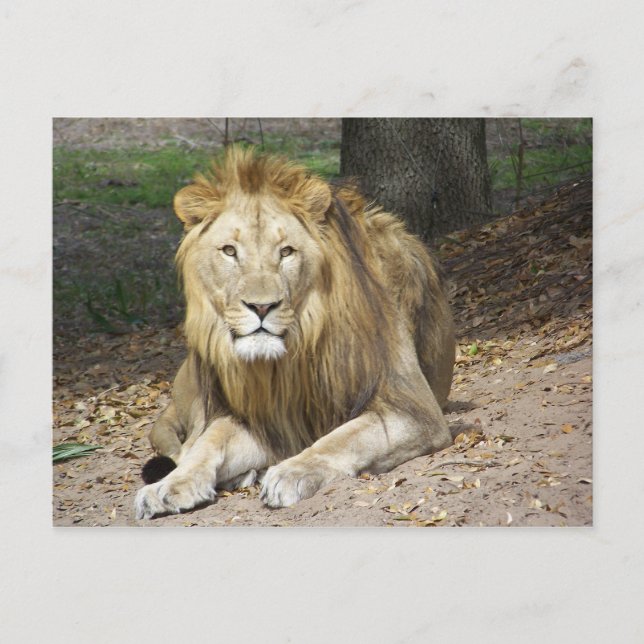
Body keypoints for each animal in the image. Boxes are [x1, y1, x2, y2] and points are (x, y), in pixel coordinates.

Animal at [134, 146, 455, 519]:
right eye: (229, 251)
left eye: (286, 252)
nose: (261, 307)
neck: (292, 357)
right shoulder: (261, 420)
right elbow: (210, 443)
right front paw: (170, 486)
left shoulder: (413, 408)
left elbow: (342, 438)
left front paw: (292, 472)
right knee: (191, 444)